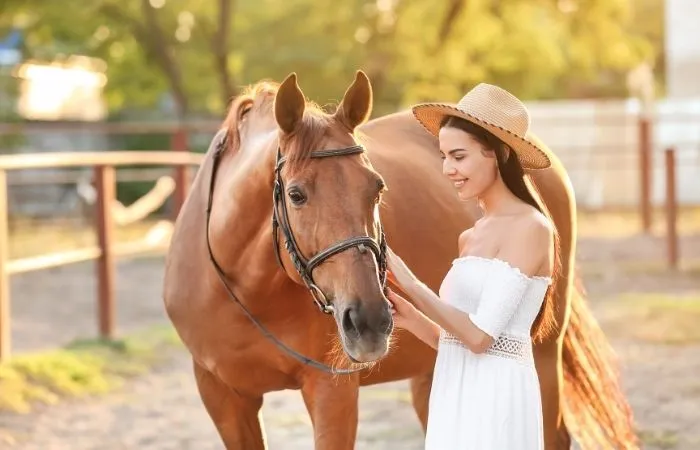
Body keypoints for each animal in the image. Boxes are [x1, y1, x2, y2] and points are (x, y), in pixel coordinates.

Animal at [164, 70, 640, 450]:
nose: (370, 321)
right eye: (296, 195)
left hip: (541, 352)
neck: (250, 290)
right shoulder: (223, 397)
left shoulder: (332, 390)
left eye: (377, 188)